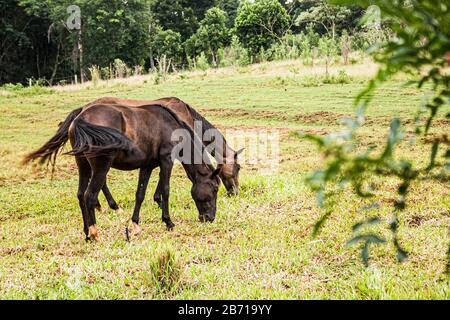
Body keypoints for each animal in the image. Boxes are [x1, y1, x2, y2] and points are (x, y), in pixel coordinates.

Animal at [22, 102, 221, 240]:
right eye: (215, 189)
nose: (210, 217)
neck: (171, 126)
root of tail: (80, 119)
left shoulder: (147, 166)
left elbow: (140, 194)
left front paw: (135, 224)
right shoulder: (166, 161)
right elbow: (165, 190)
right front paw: (168, 222)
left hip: (83, 165)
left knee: (80, 195)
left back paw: (86, 232)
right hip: (100, 167)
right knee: (89, 196)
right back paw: (95, 233)